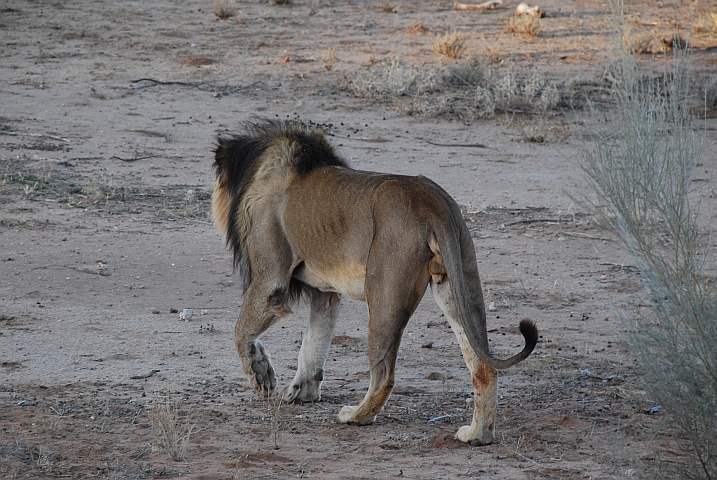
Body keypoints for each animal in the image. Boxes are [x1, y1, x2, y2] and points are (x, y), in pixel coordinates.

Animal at [212, 120, 538, 445]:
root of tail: (431, 201)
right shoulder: (324, 293)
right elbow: (314, 341)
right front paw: (302, 390)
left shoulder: (271, 280)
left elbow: (241, 331)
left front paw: (261, 373)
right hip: (460, 280)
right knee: (483, 366)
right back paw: (477, 434)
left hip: (384, 292)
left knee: (383, 376)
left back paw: (356, 416)